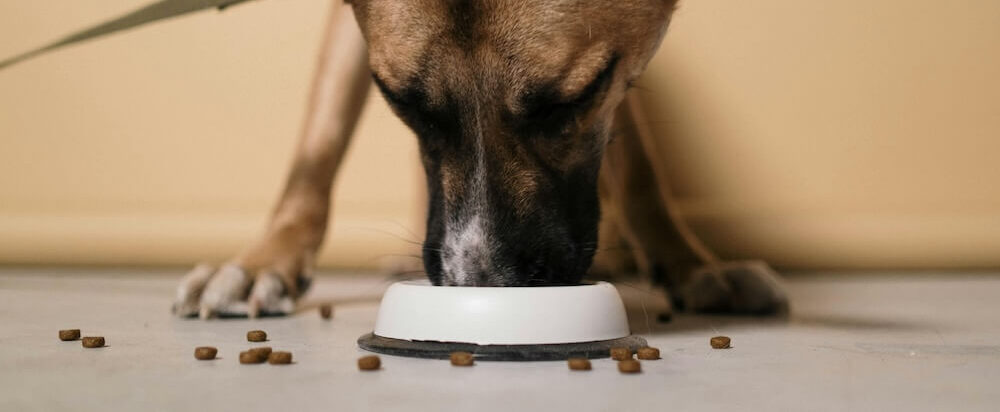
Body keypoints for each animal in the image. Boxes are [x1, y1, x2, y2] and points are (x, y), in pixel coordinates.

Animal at [170, 0, 788, 318]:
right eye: (401, 101)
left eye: (572, 100)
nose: (484, 286)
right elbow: (318, 146)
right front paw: (264, 261)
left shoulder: (618, 75)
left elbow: (638, 169)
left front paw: (690, 264)